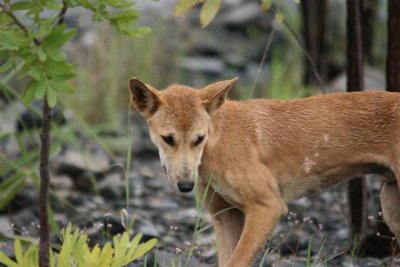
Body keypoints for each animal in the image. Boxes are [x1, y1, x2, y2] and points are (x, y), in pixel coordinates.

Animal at [128, 77, 400, 266]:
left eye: (199, 139)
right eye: (168, 139)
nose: (185, 185)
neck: (217, 142)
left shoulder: (266, 207)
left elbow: (237, 261)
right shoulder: (225, 217)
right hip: (390, 207)